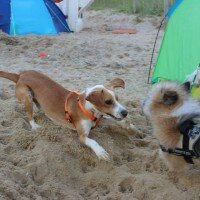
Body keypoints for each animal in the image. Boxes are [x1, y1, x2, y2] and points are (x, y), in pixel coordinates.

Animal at [0, 70, 128, 159]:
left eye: (117, 99)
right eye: (108, 102)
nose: (126, 112)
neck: (88, 109)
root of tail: (20, 75)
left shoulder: (101, 119)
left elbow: (116, 122)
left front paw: (128, 126)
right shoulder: (82, 136)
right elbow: (93, 141)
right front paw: (100, 151)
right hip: (27, 96)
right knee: (30, 115)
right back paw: (35, 126)